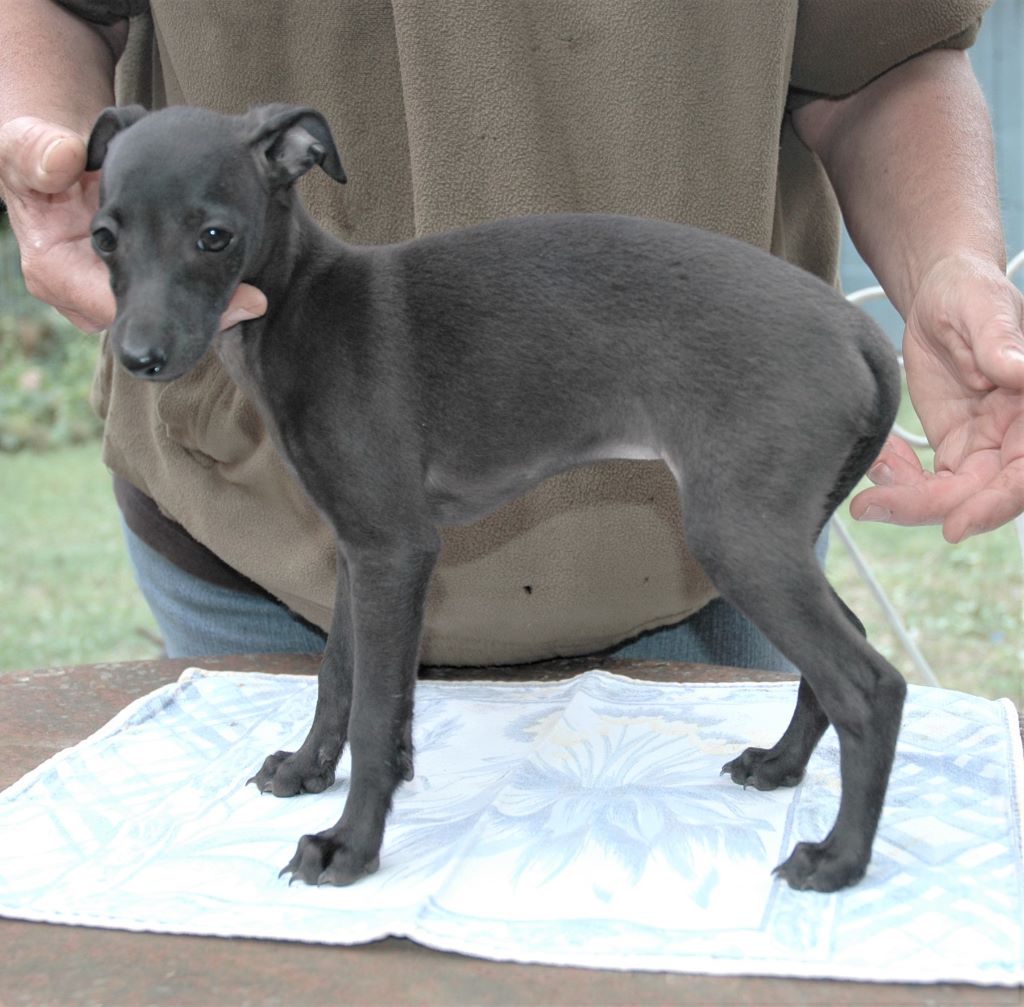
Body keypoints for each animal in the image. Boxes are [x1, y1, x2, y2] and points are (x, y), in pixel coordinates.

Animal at [86, 104, 905, 889]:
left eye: (214, 236)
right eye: (102, 239)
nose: (140, 357)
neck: (301, 307)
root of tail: (859, 329)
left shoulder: (396, 548)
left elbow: (376, 710)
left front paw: (348, 843)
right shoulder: (359, 548)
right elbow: (337, 673)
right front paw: (306, 768)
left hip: (737, 535)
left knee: (870, 685)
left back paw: (838, 860)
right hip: (777, 528)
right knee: (849, 643)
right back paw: (780, 765)